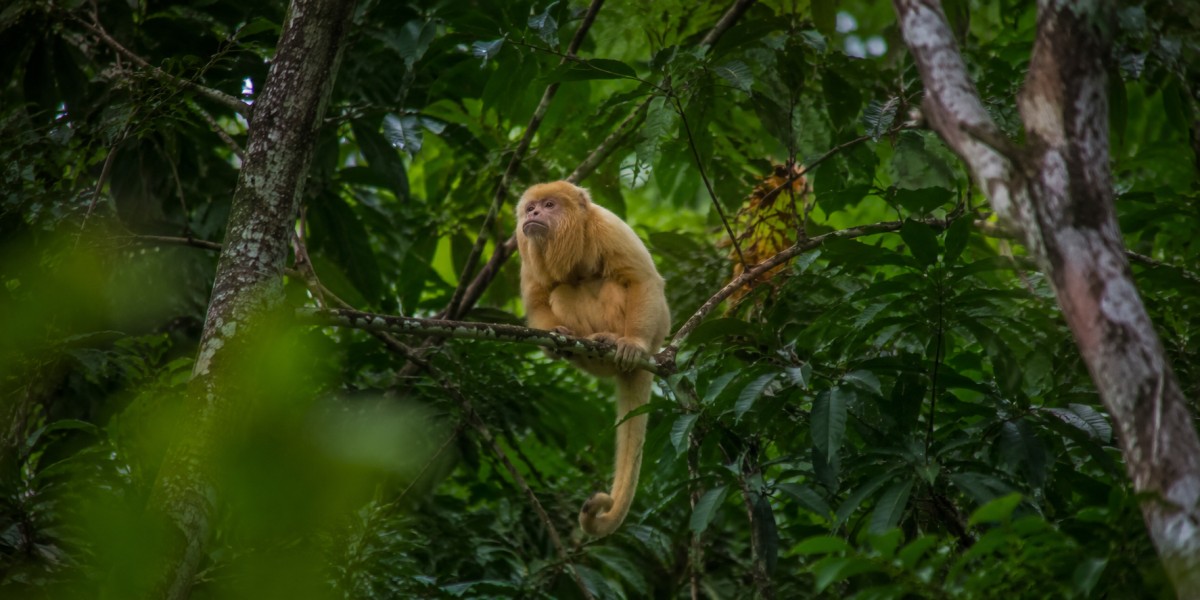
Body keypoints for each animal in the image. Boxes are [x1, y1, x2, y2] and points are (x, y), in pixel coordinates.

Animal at [515, 181, 670, 537]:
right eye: (531, 208)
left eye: (549, 205)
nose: (533, 213)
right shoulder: (525, 245)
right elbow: (539, 299)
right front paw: (554, 337)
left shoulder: (608, 227)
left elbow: (642, 279)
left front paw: (633, 343)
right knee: (562, 292)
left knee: (613, 283)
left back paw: (614, 342)